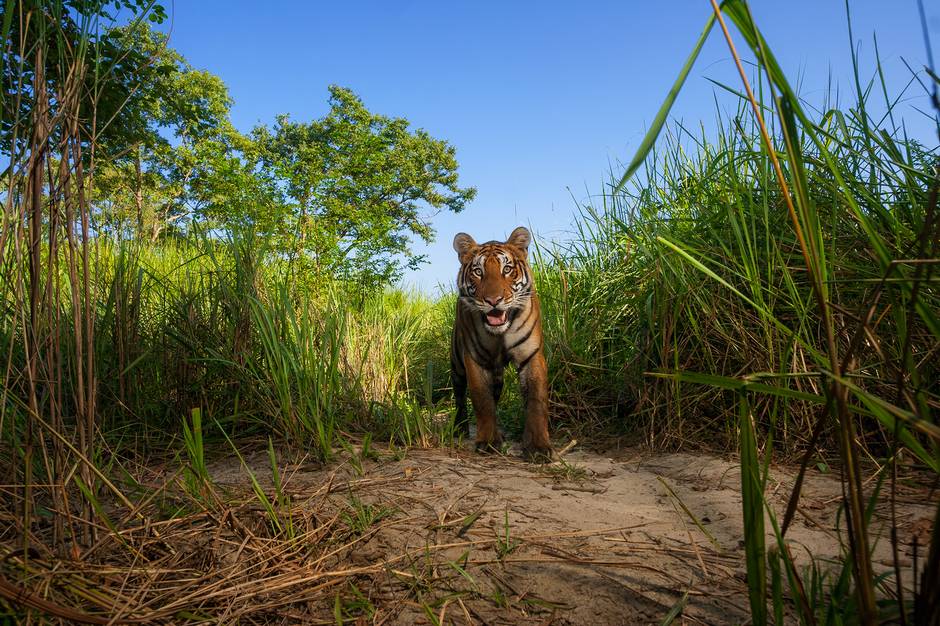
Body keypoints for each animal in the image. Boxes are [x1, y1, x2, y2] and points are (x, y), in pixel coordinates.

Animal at [452, 224, 556, 458]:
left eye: (507, 269)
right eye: (478, 271)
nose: (493, 300)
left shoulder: (531, 356)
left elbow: (536, 402)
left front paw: (538, 446)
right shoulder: (475, 360)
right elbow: (482, 401)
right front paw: (488, 442)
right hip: (457, 365)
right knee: (460, 397)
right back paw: (459, 429)